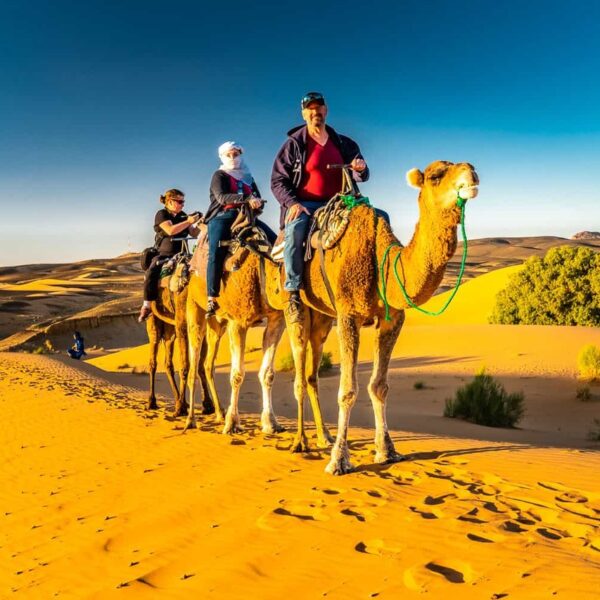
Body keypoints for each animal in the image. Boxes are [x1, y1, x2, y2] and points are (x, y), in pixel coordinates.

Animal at [274, 159, 480, 474]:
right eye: (435, 176)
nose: (472, 174)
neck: (381, 261)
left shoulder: (391, 319)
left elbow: (379, 387)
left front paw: (387, 450)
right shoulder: (349, 314)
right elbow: (348, 390)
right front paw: (339, 460)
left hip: (322, 316)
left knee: (312, 374)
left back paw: (323, 436)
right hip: (294, 304)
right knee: (298, 368)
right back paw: (301, 442)